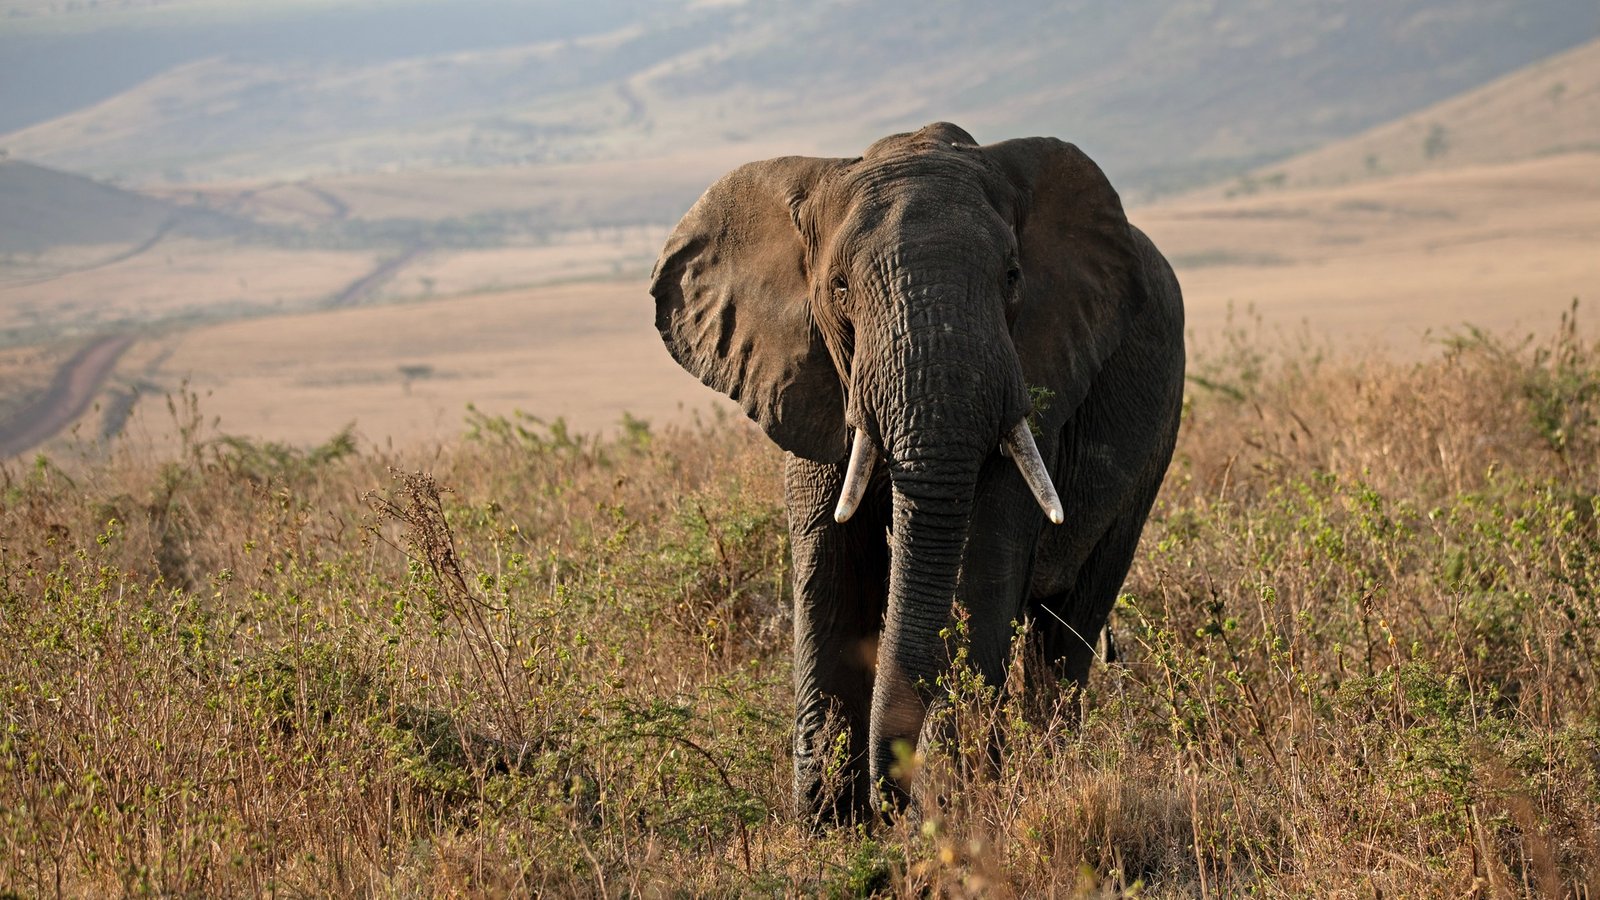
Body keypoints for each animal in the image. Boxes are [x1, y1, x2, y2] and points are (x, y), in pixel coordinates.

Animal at [650, 122, 1185, 821]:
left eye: (1012, 276)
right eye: (840, 289)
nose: (893, 796)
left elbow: (978, 568)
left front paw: (956, 806)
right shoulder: (809, 379)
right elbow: (832, 567)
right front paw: (830, 826)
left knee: (1069, 626)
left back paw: (1049, 775)